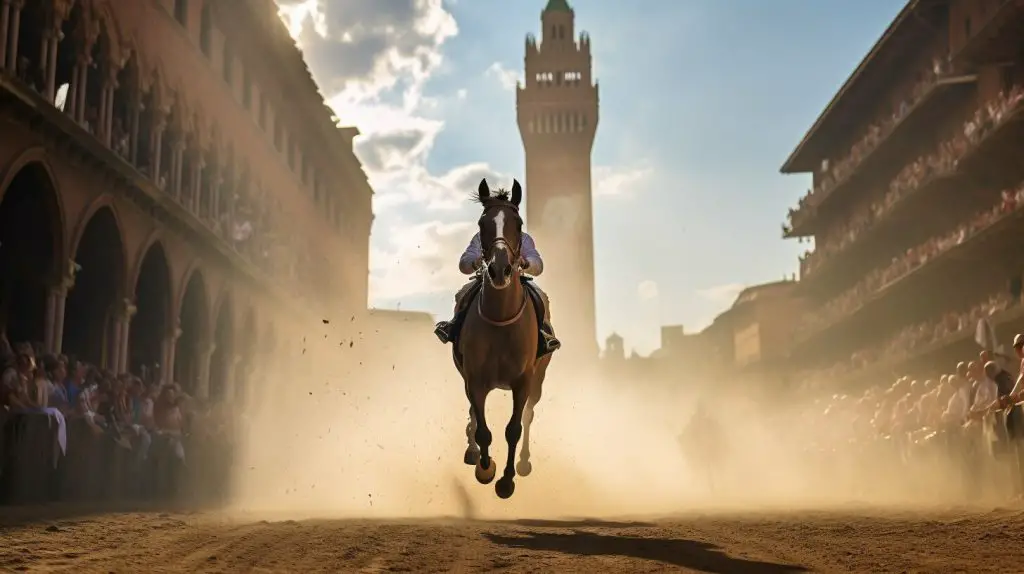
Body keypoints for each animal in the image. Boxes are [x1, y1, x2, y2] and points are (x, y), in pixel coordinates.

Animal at [456, 178, 552, 497]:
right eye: (482, 223)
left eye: (518, 223)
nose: (499, 269)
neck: (501, 321)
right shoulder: (474, 379)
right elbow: (483, 428)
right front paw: (485, 468)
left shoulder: (524, 381)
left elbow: (514, 428)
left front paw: (507, 479)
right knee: (473, 414)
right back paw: (472, 452)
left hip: (539, 378)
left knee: (529, 415)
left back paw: (523, 463)